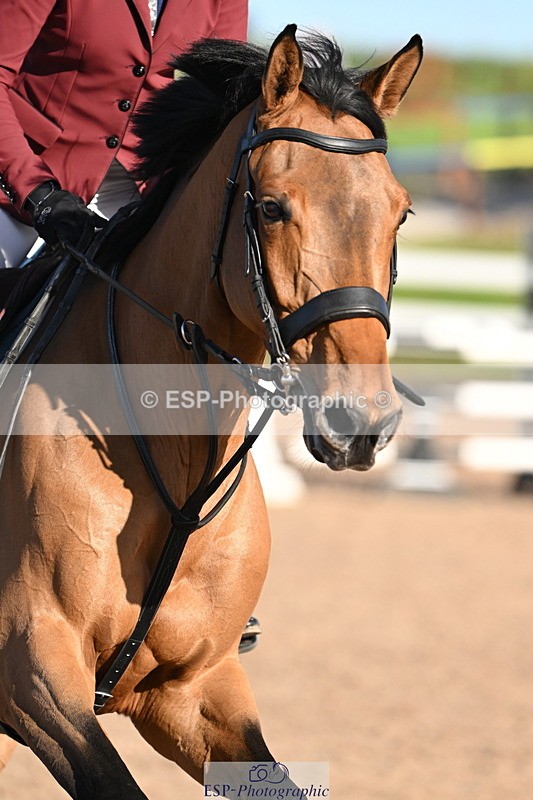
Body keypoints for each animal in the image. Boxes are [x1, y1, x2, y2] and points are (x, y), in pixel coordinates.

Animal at [0, 25, 422, 799]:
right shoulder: (32, 668)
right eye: (271, 208)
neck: (175, 465)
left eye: (399, 211)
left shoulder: (191, 691)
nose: (361, 426)